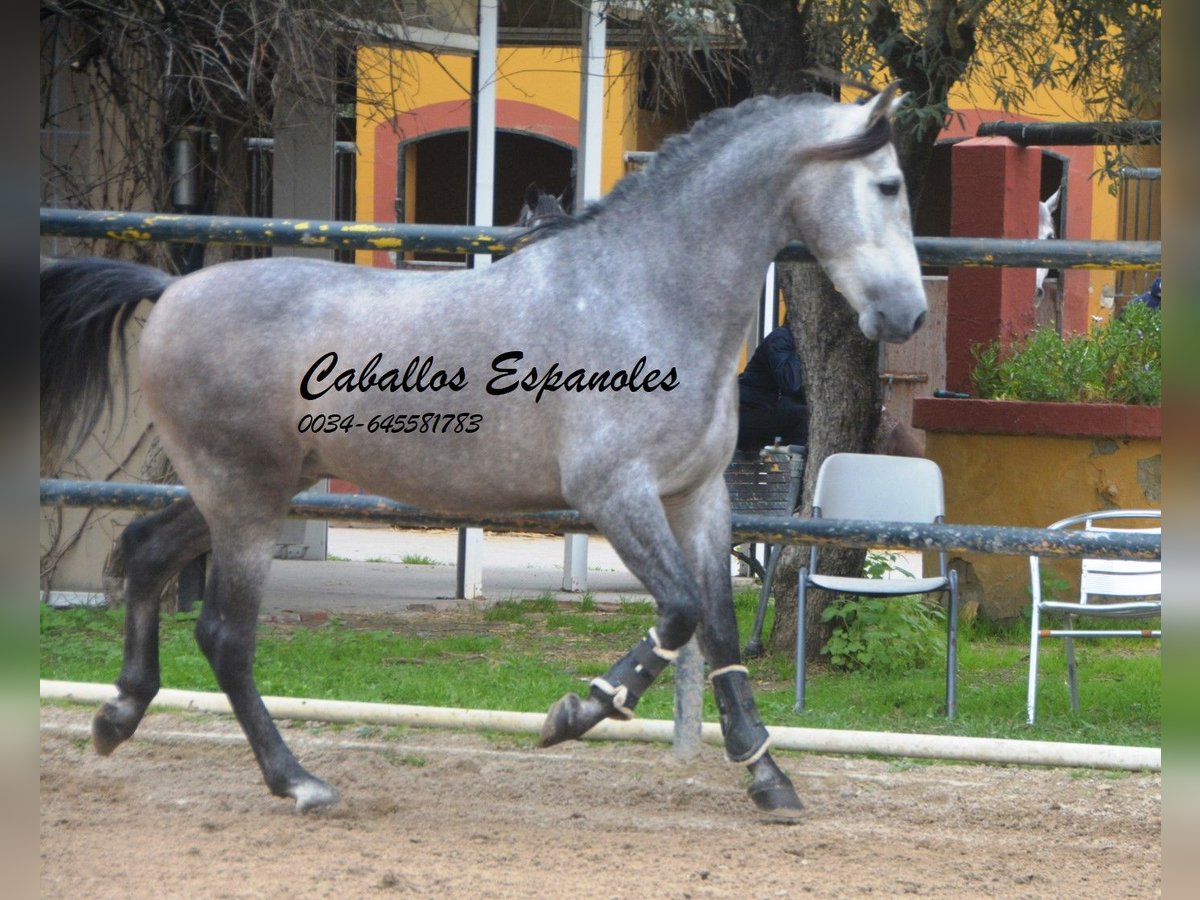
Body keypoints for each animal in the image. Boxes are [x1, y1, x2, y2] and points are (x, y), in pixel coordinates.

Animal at [37, 86, 921, 825]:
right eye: (888, 186)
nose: (907, 316)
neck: (644, 294)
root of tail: (170, 291)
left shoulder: (699, 496)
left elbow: (723, 632)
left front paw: (769, 778)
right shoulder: (614, 493)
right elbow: (680, 610)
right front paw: (576, 714)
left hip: (245, 489)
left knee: (144, 550)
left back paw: (118, 716)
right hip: (245, 497)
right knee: (224, 634)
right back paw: (299, 782)